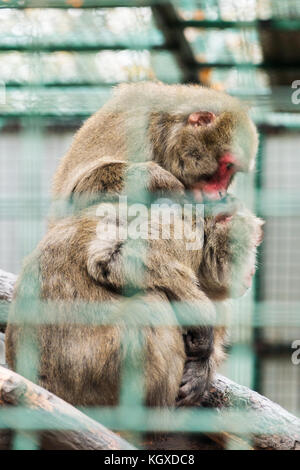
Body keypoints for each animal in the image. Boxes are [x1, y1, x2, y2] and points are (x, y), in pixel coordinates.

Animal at [4, 196, 262, 410]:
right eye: (251, 246)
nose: (251, 271)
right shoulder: (182, 231)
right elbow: (114, 257)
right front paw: (202, 329)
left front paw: (200, 373)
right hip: (91, 370)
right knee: (153, 301)